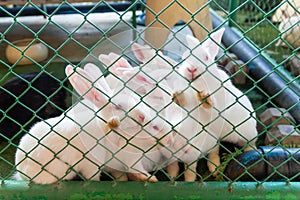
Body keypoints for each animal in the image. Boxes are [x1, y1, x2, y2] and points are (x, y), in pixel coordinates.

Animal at [176, 28, 258, 175]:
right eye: (185, 58)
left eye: (206, 58)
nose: (192, 69)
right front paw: (179, 95)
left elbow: (212, 107)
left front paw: (206, 98)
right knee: (214, 151)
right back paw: (214, 168)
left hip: (247, 133)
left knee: (251, 143)